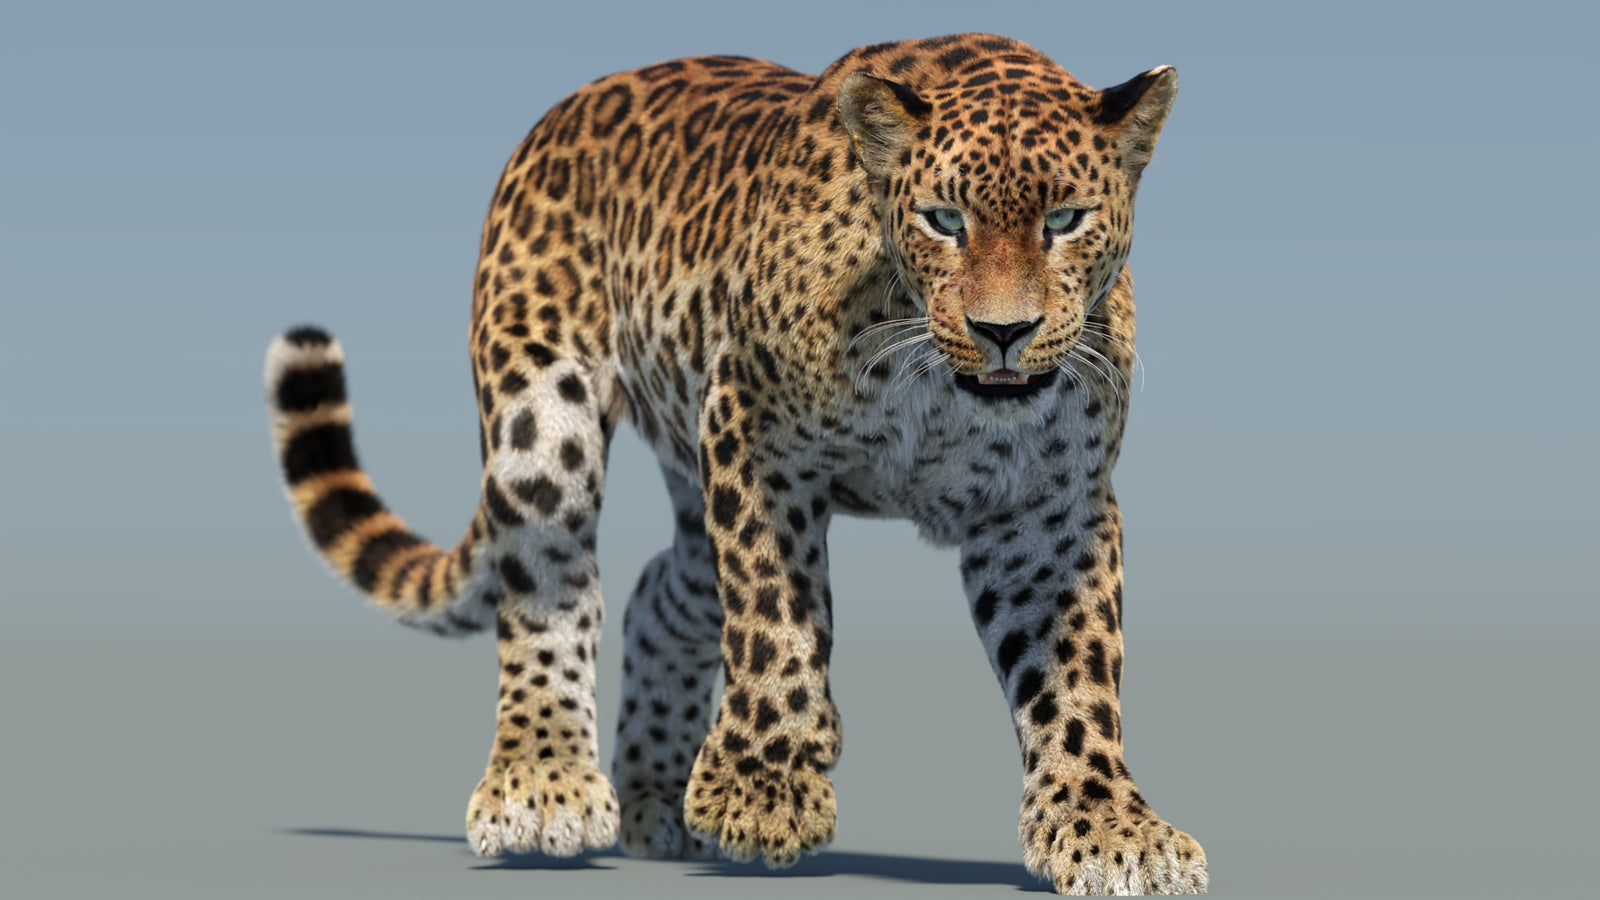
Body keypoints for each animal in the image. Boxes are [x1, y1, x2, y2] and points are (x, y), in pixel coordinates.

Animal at [263, 33, 1204, 895]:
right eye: (944, 219)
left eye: (1064, 220)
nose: (1002, 331)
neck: (934, 383)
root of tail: (565, 111)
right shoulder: (756, 438)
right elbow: (775, 619)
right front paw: (760, 793)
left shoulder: (1050, 507)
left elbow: (1075, 670)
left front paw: (1107, 825)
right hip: (543, 416)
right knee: (551, 589)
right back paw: (544, 784)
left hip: (687, 475)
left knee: (660, 591)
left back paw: (653, 800)